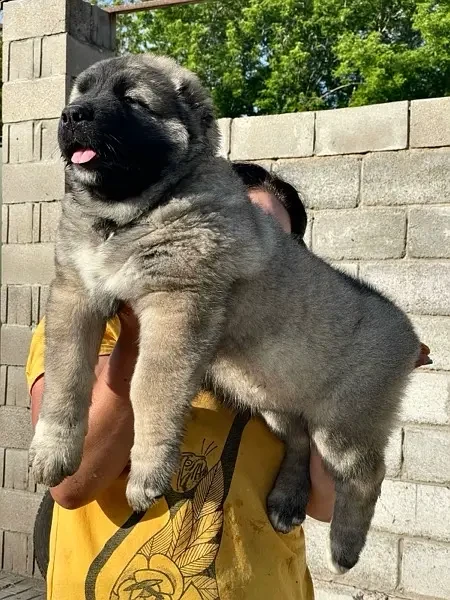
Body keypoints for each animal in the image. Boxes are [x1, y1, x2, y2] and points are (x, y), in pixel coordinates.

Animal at [29, 54, 420, 576]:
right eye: (81, 92)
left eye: (132, 100)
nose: (72, 115)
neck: (128, 216)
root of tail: (408, 334)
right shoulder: (74, 295)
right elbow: (67, 379)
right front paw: (52, 451)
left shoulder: (175, 306)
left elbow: (149, 388)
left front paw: (148, 473)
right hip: (271, 396)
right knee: (299, 441)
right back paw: (287, 501)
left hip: (346, 423)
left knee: (366, 475)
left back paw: (344, 547)